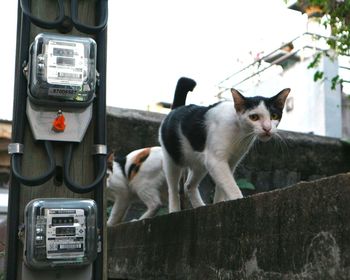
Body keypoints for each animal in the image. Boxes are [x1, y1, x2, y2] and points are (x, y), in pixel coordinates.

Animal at [104, 76, 197, 225]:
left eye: (106, 175)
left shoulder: (122, 194)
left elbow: (115, 214)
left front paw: (108, 225)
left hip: (141, 182)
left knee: (156, 204)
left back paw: (138, 219)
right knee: (179, 198)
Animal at [159, 87, 290, 212]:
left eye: (274, 116)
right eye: (254, 117)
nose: (267, 128)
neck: (239, 132)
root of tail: (176, 109)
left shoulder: (231, 162)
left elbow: (221, 187)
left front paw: (219, 203)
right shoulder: (216, 161)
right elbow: (231, 185)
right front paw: (237, 200)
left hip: (199, 164)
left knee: (188, 185)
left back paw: (199, 205)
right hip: (172, 159)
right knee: (173, 189)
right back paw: (174, 210)